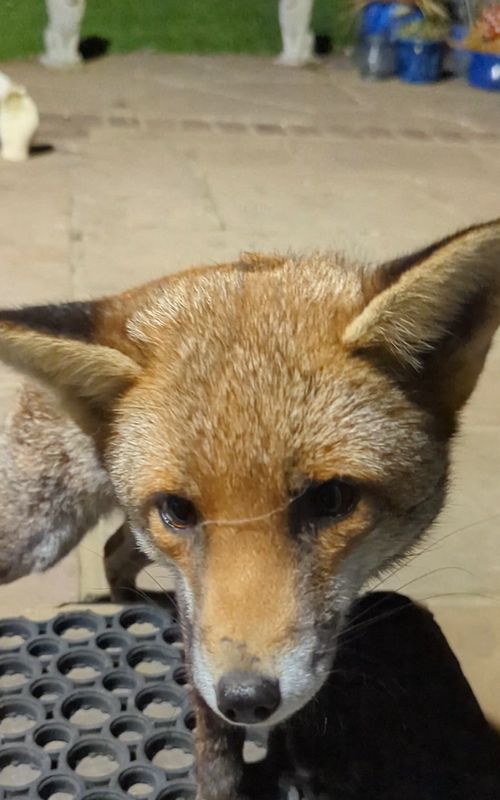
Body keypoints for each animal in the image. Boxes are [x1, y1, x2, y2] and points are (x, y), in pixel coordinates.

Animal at [0, 220, 499, 799]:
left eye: (330, 500)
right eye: (179, 510)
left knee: (113, 549)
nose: (246, 699)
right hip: (36, 537)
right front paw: (222, 779)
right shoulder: (201, 625)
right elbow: (214, 743)